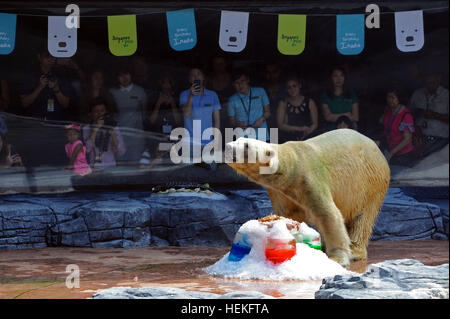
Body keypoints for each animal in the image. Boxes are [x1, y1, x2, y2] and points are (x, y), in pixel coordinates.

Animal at [225, 129, 390, 268]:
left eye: (246, 145)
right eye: (238, 138)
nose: (227, 146)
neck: (290, 167)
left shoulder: (310, 179)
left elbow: (329, 215)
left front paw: (337, 258)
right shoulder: (280, 192)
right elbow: (287, 215)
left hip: (370, 183)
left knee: (362, 218)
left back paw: (355, 251)